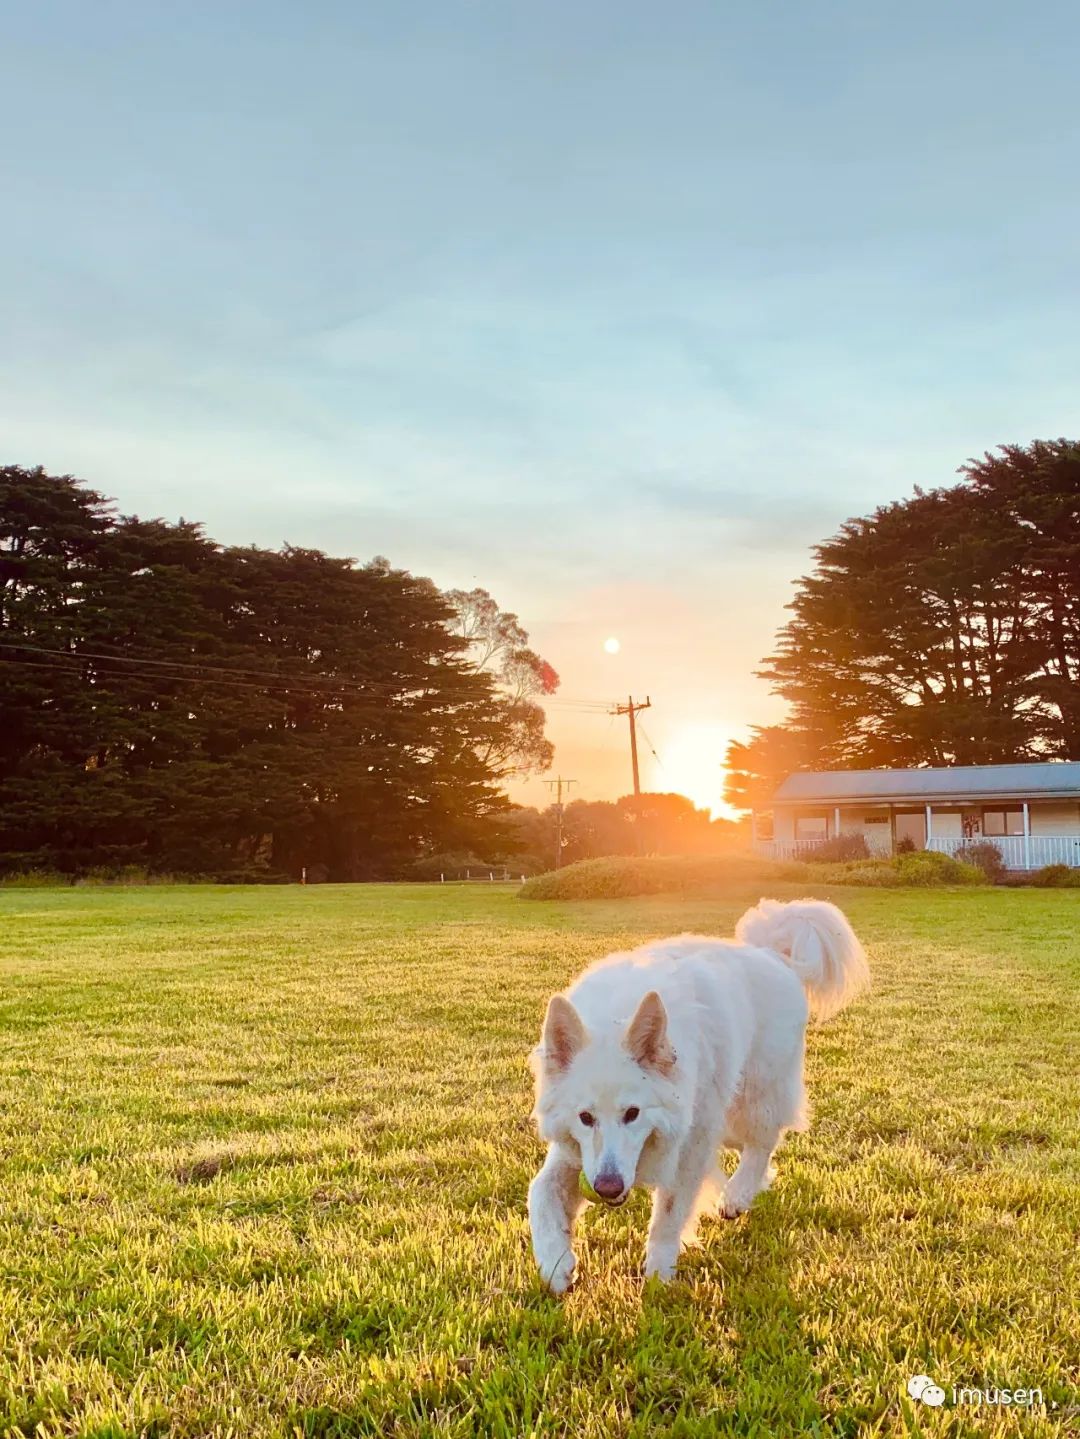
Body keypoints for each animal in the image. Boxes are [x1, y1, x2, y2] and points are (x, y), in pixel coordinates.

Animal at [529, 897, 874, 1295]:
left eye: (633, 1113)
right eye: (585, 1118)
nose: (606, 1187)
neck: (615, 1019)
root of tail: (772, 954)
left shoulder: (690, 1147)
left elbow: (668, 1214)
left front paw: (658, 1275)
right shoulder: (578, 1155)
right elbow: (539, 1192)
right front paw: (556, 1263)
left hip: (750, 1102)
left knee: (763, 1144)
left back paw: (737, 1195)